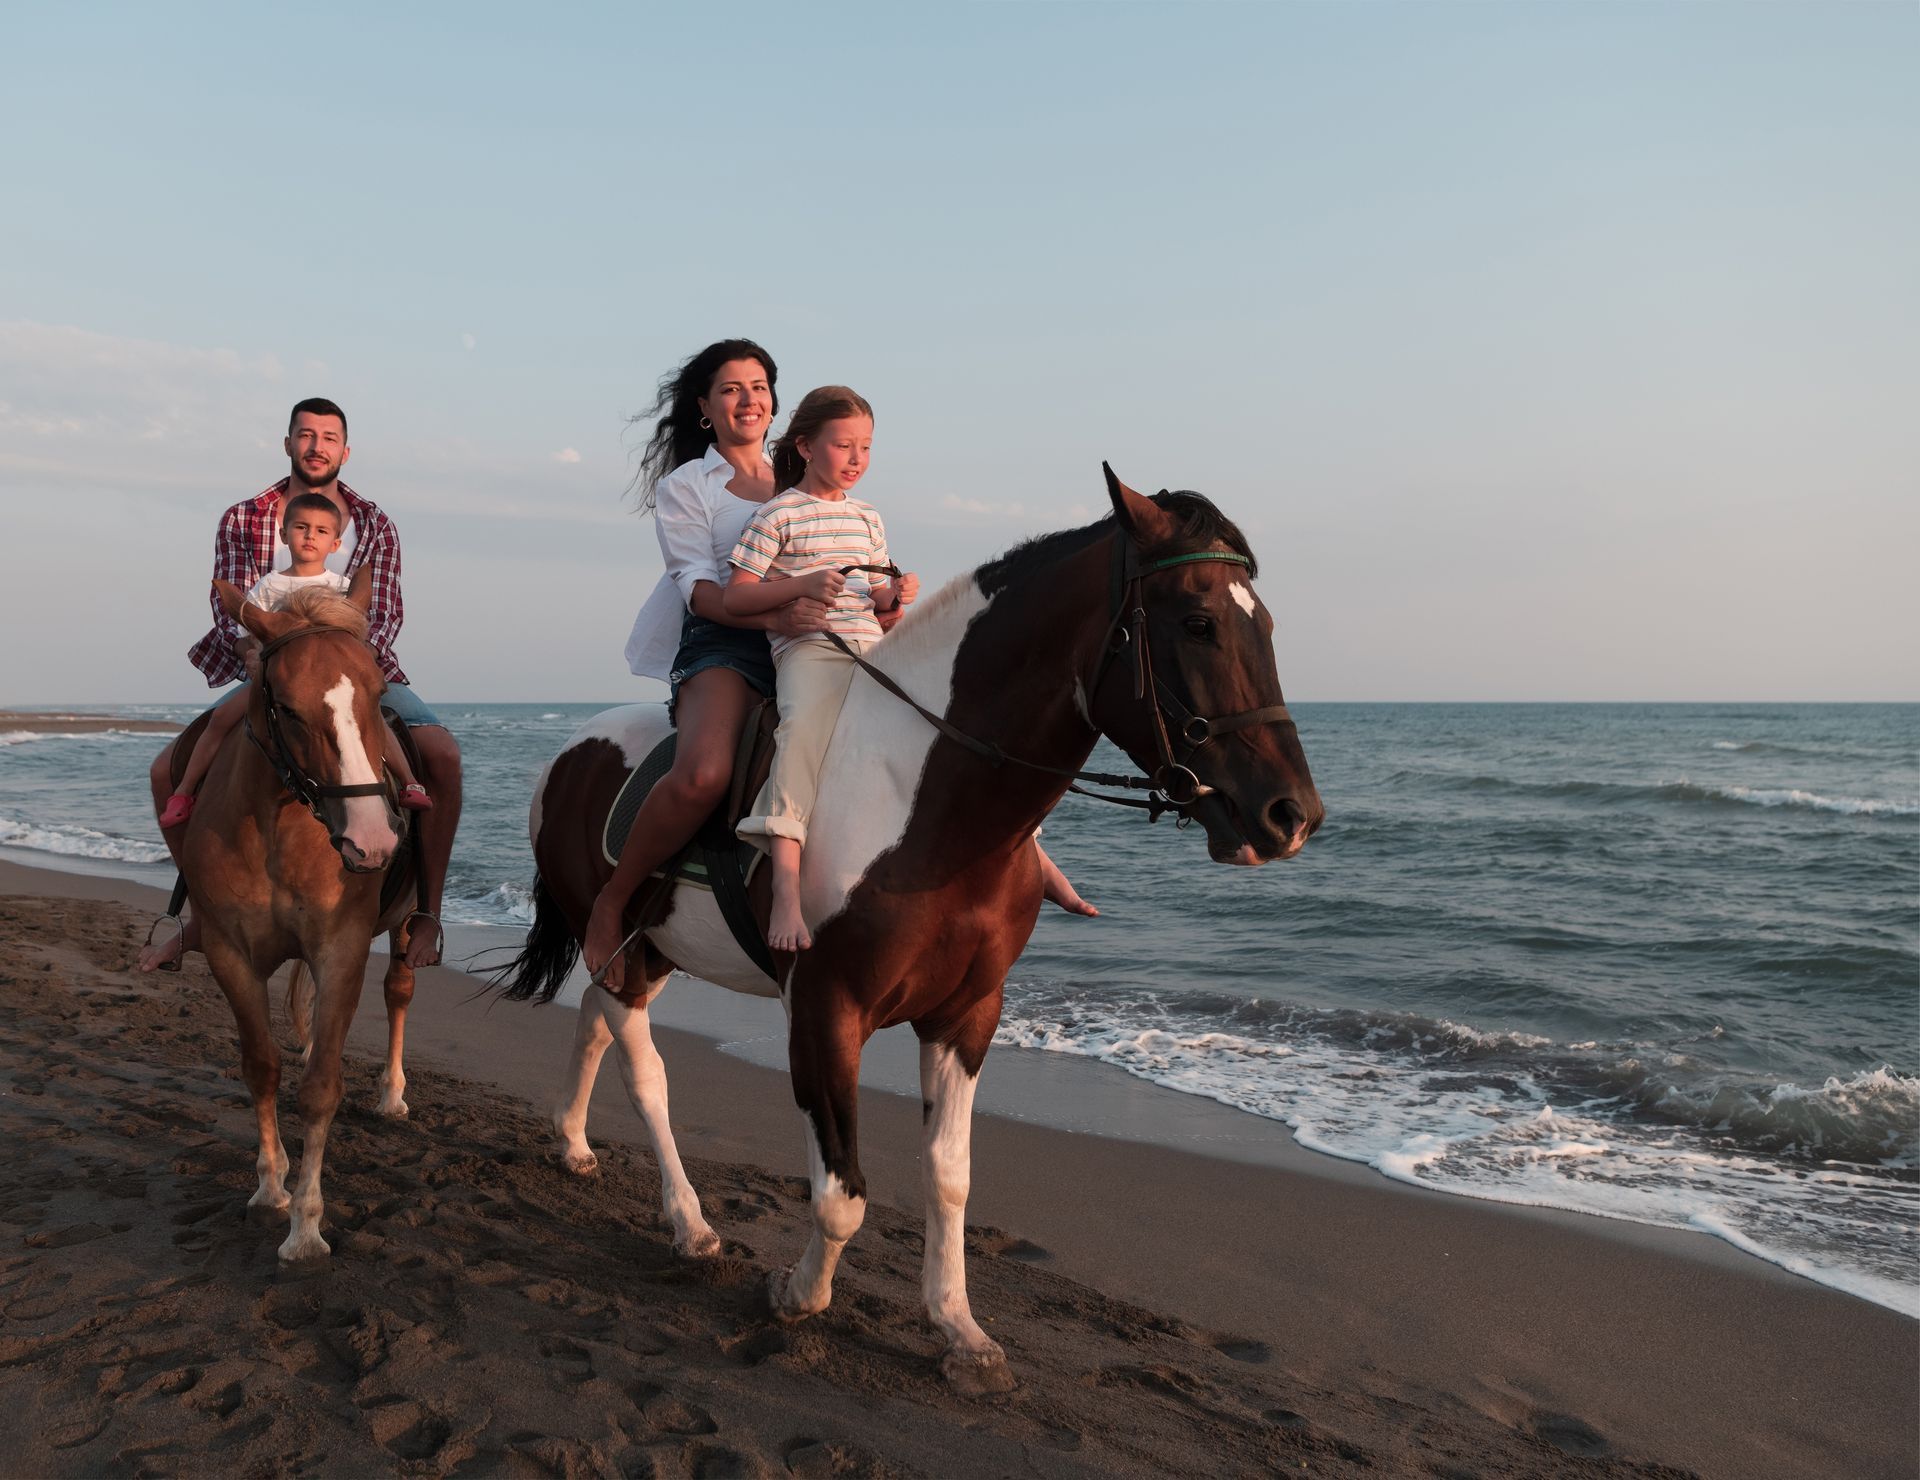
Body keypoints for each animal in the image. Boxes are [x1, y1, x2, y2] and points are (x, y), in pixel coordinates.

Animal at [181, 579, 422, 1259]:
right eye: (286, 709)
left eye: (378, 694)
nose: (372, 841)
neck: (281, 826)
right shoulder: (228, 954)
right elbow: (262, 1068)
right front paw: (271, 1188)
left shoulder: (341, 951)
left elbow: (319, 1089)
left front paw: (307, 1226)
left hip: (406, 923)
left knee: (399, 990)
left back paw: (392, 1094)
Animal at [495, 472, 1320, 1389]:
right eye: (1197, 621)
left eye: (1265, 624)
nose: (1290, 815)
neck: (927, 804)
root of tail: (570, 749)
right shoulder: (825, 1010)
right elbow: (841, 1192)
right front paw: (799, 1295)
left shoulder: (967, 1016)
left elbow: (949, 1176)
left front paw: (959, 1328)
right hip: (625, 948)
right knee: (645, 1072)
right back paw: (689, 1223)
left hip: (646, 951)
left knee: (594, 1027)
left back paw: (572, 1143)